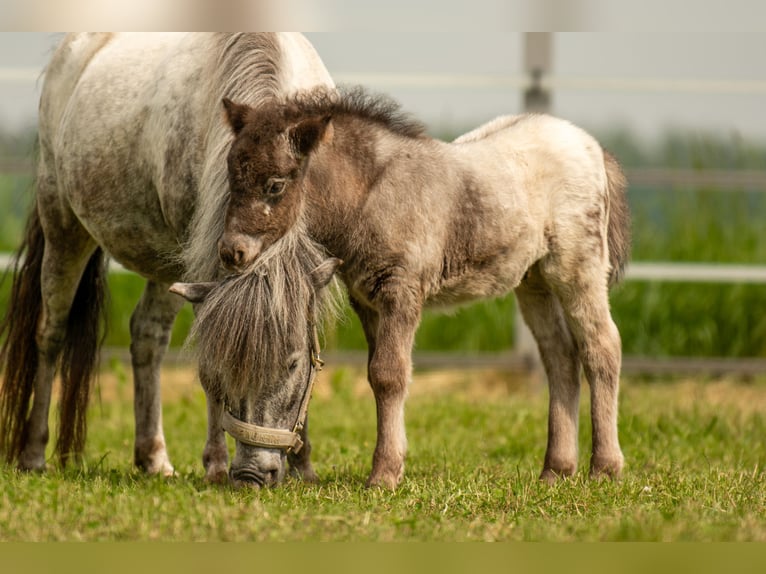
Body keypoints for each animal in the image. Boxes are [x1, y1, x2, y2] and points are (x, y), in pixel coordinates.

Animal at [0, 32, 336, 486]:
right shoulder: (206, 267)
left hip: (166, 264)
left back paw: (153, 457)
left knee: (147, 335)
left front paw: (304, 465)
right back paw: (34, 453)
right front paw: (215, 463)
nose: (251, 475)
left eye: (292, 363)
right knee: (50, 334)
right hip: (64, 230)